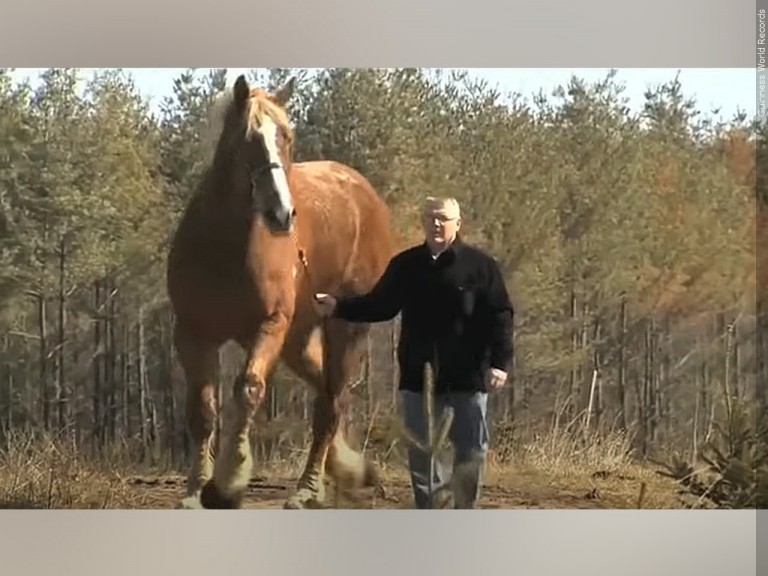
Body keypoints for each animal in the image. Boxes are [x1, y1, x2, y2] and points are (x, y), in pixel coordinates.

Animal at [165, 74, 396, 509]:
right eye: (247, 139)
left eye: (286, 137)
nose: (282, 214)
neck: (225, 247)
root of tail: (365, 194)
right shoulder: (192, 332)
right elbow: (202, 409)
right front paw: (194, 491)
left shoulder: (269, 325)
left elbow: (248, 389)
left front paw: (228, 483)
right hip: (298, 340)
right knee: (325, 390)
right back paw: (341, 471)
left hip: (343, 330)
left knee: (330, 403)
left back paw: (307, 489)